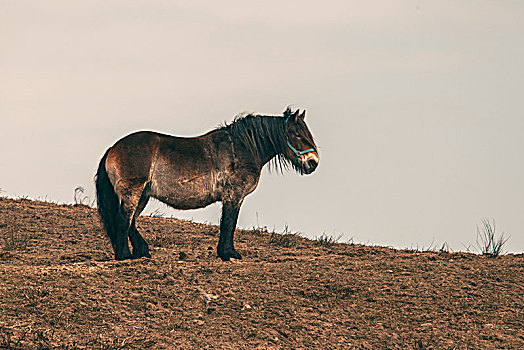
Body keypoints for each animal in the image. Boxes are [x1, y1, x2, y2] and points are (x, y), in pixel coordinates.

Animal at [95, 108, 320, 262]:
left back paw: (142, 251)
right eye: (297, 134)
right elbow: (229, 223)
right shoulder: (233, 196)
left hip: (143, 194)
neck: (242, 148)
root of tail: (112, 149)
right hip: (133, 192)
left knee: (131, 222)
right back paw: (125, 255)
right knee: (123, 220)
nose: (313, 162)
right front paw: (229, 253)